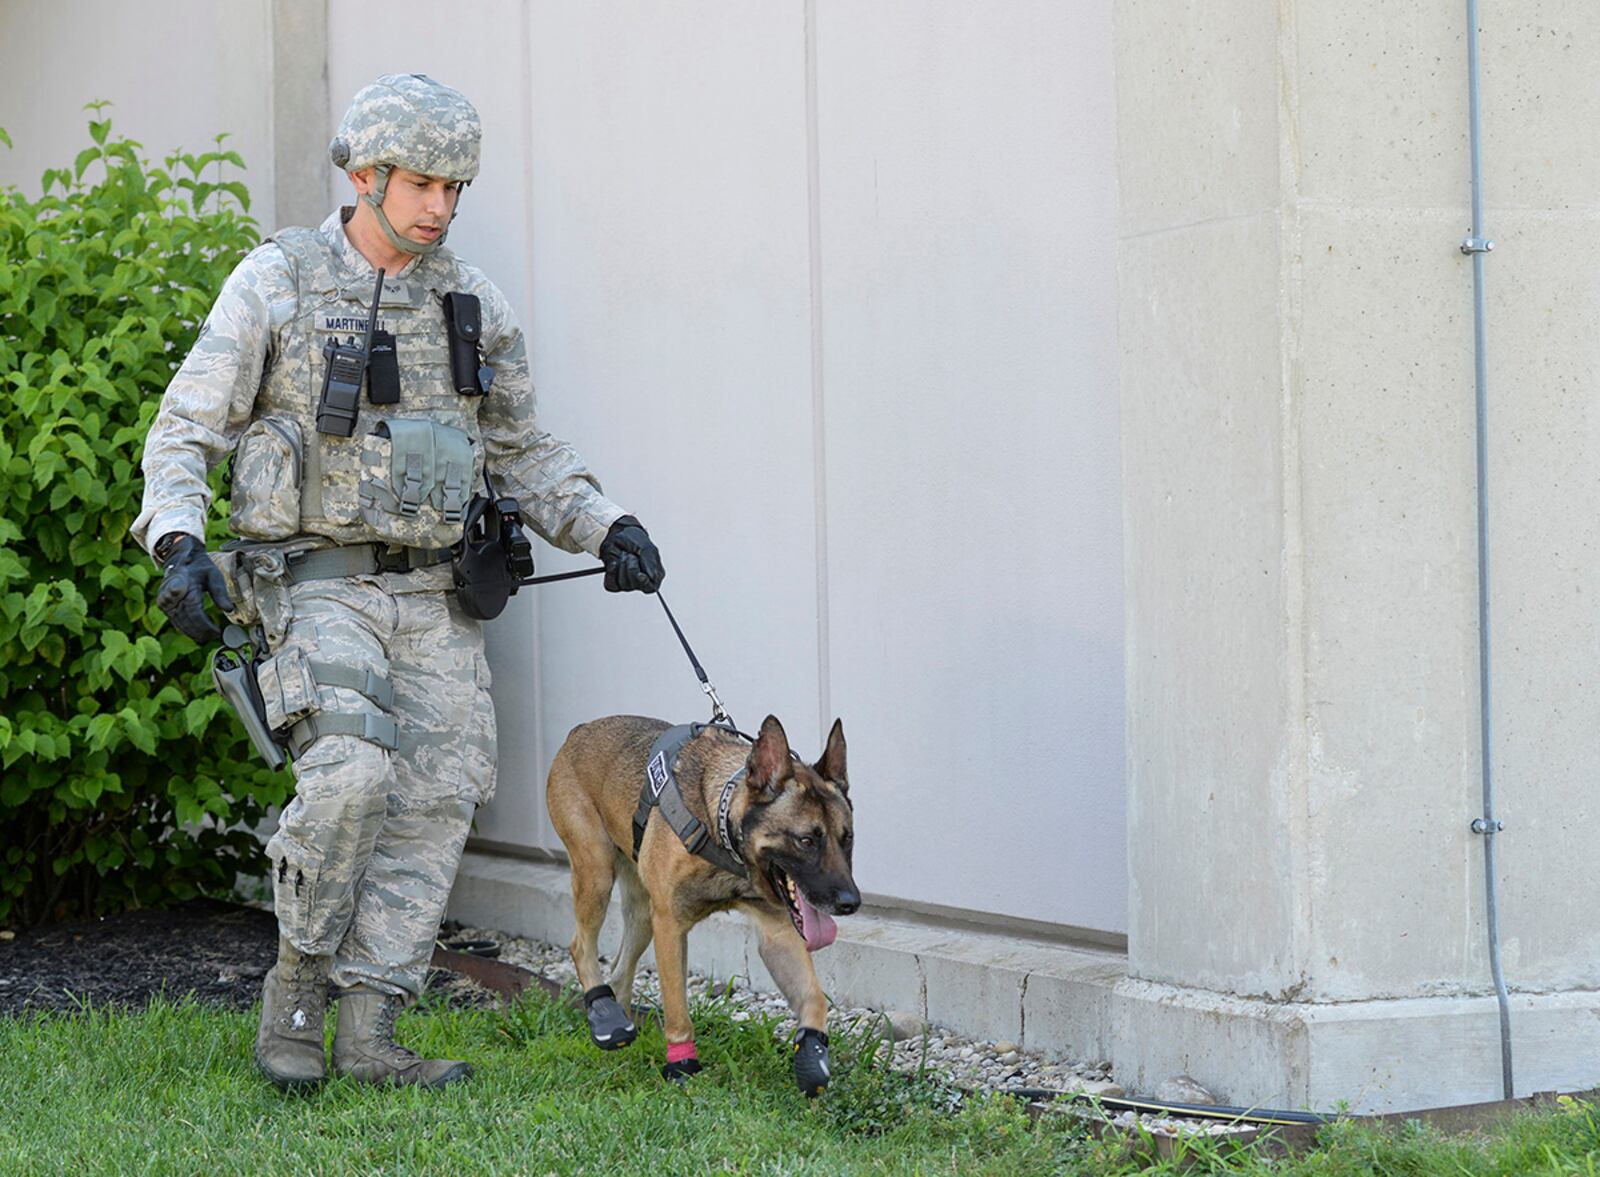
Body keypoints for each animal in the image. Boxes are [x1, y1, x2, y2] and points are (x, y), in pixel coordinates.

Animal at [547, 713, 864, 1087]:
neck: (720, 826)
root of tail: (579, 730)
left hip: (641, 916)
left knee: (620, 970)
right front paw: (682, 1064)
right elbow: (677, 1010)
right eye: (806, 841)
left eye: (847, 838)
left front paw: (812, 1053)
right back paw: (603, 1013)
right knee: (581, 946)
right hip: (597, 875)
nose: (851, 903)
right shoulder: (670, 927)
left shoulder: (778, 934)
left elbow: (814, 997)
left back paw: (616, 1021)